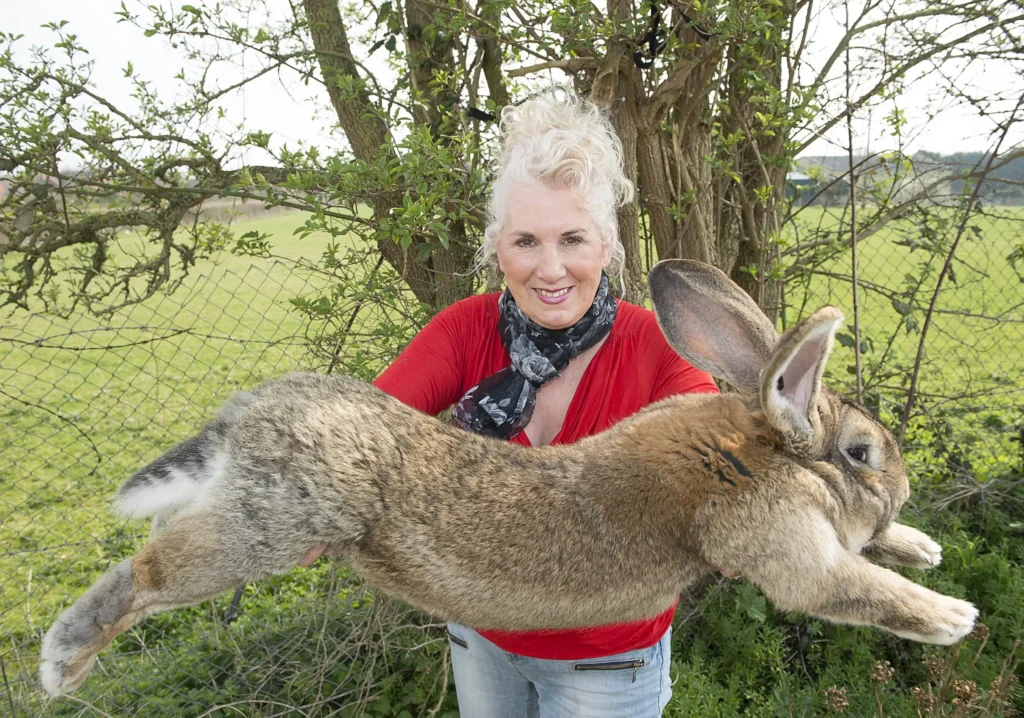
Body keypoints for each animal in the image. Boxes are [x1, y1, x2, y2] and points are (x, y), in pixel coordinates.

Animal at [39, 259, 977, 698]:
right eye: (862, 453)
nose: (900, 489)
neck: (759, 449)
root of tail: (246, 417)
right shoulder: (785, 548)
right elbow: (853, 587)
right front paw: (952, 616)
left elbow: (873, 557)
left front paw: (922, 545)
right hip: (267, 528)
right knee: (145, 573)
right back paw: (61, 665)